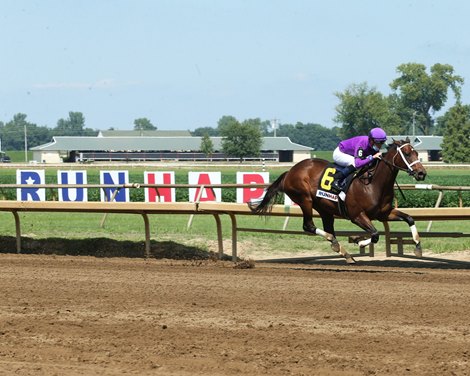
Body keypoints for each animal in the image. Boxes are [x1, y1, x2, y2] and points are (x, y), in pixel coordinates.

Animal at [252, 139, 428, 264]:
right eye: (406, 153)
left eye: (416, 153)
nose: (421, 173)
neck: (373, 183)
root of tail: (290, 171)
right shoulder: (357, 215)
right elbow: (375, 234)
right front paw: (359, 241)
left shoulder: (383, 213)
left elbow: (409, 218)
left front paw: (418, 247)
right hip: (305, 199)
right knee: (309, 226)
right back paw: (337, 245)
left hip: (324, 208)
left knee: (327, 228)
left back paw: (343, 251)